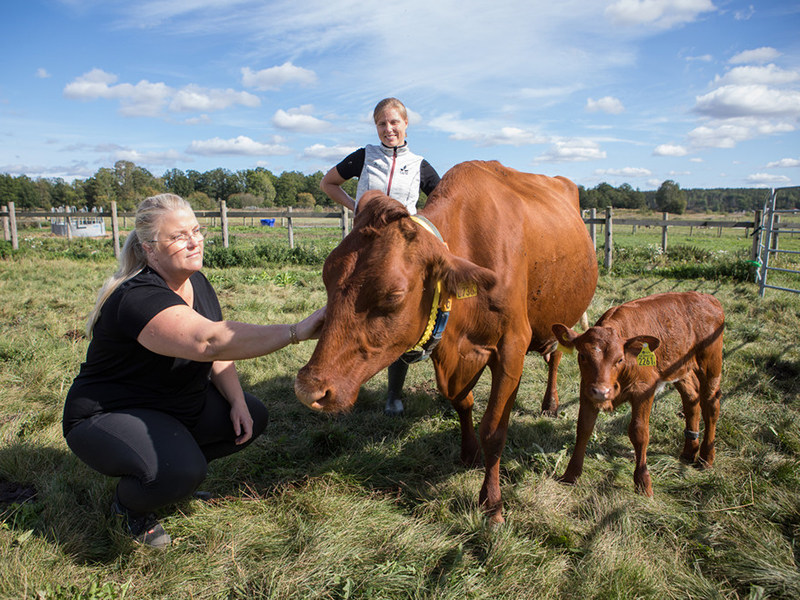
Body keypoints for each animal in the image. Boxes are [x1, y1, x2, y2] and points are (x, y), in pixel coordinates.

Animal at [296, 159, 596, 520]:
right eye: (326, 277)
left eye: (393, 295)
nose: (308, 388)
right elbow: (462, 404)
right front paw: (468, 454)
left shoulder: (512, 348)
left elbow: (494, 430)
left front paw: (492, 502)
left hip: (561, 316)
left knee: (555, 355)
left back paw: (550, 403)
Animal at [552, 292, 720, 496]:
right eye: (582, 355)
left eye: (620, 359)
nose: (601, 391)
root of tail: (706, 297)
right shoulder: (587, 390)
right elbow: (584, 428)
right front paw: (571, 474)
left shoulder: (644, 390)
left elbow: (639, 433)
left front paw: (643, 482)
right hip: (681, 369)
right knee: (691, 399)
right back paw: (689, 451)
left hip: (711, 364)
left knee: (711, 405)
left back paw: (706, 457)